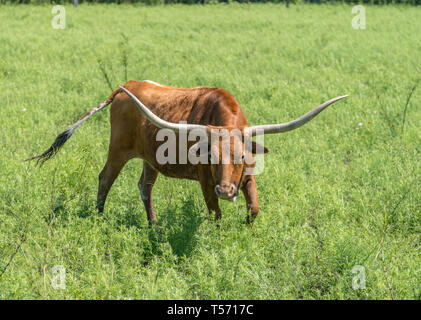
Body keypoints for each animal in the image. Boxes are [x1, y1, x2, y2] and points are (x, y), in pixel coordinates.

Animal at [27, 80, 346, 225]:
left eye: (241, 157)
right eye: (211, 157)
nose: (226, 190)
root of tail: (128, 86)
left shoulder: (247, 176)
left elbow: (254, 208)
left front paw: (246, 227)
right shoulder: (206, 182)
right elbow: (215, 214)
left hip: (150, 158)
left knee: (144, 186)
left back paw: (154, 224)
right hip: (117, 149)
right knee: (105, 178)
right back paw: (99, 217)